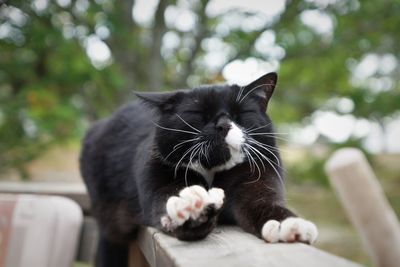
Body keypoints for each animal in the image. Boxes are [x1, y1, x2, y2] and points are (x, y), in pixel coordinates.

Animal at [80, 73, 318, 267]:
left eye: (240, 113)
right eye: (198, 113)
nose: (223, 125)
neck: (212, 170)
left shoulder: (257, 176)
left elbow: (262, 201)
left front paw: (288, 224)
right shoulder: (156, 176)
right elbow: (165, 198)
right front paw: (191, 208)